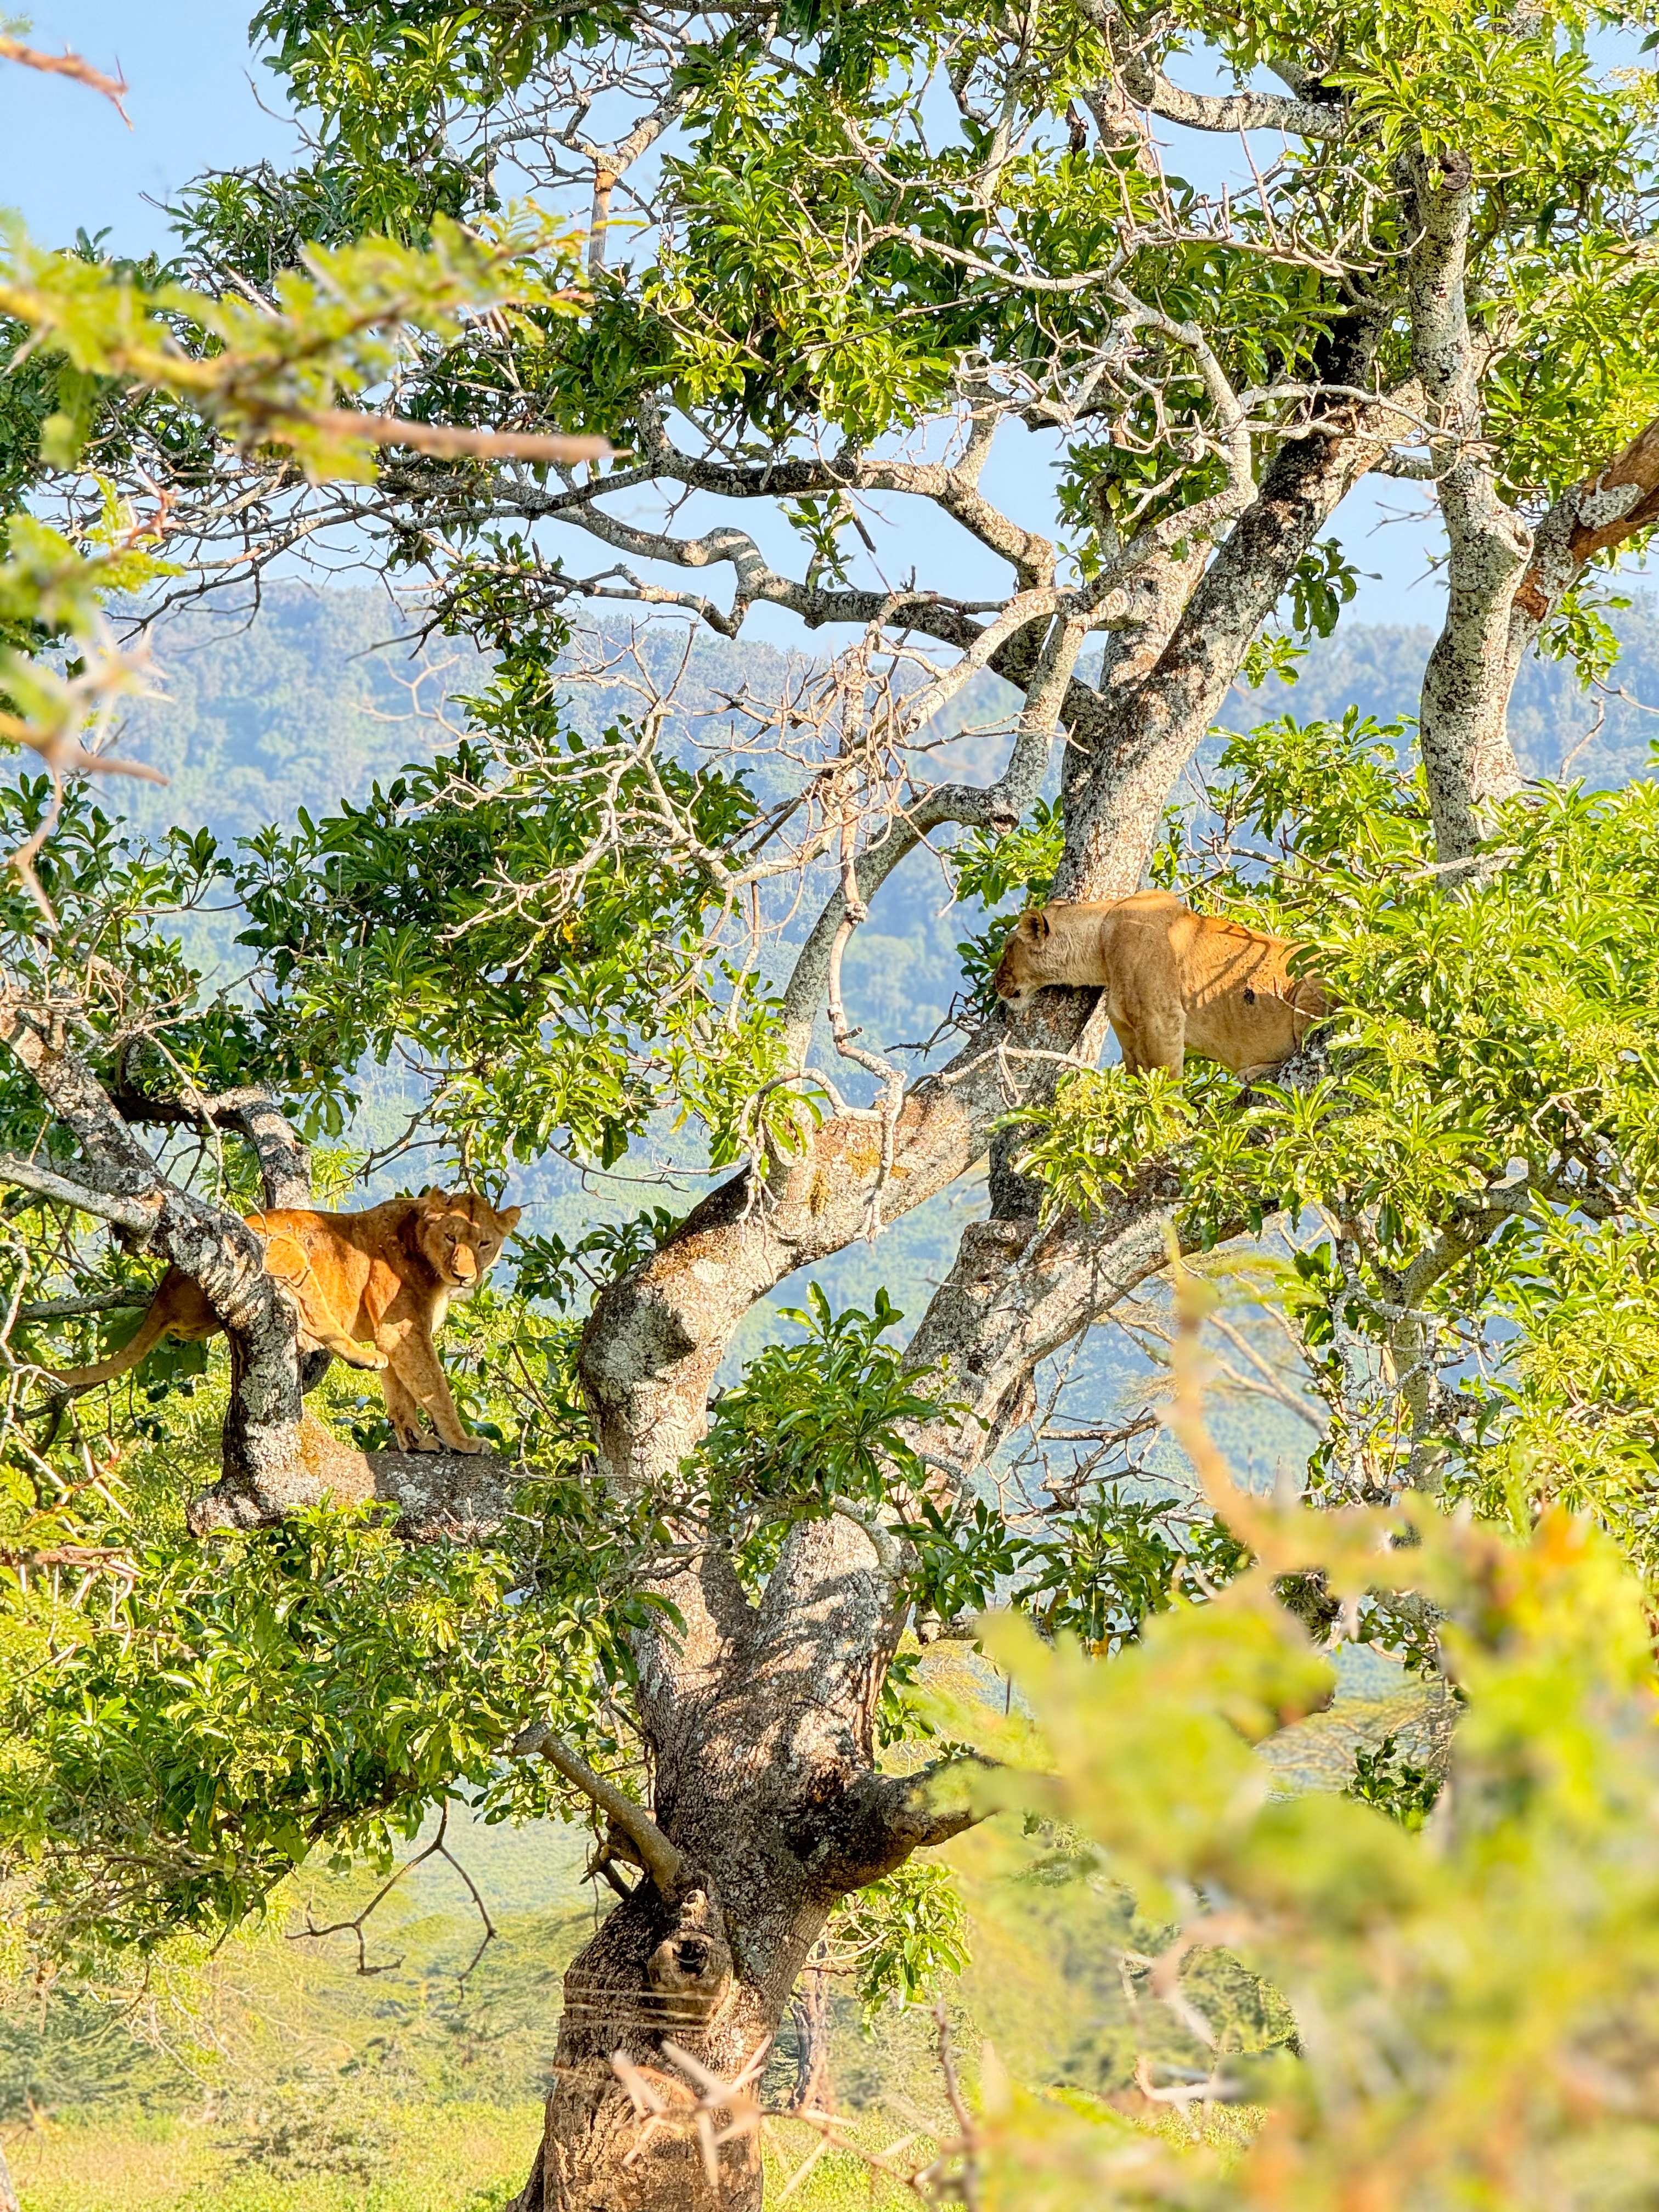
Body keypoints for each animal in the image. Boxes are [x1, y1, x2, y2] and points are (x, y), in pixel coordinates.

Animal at [53, 1194, 520, 1451]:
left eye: (484, 1243)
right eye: (452, 1238)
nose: (464, 1275)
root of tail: (166, 1289)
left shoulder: (395, 1336)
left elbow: (401, 1394)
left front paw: (416, 1441)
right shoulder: (401, 1331)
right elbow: (433, 1388)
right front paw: (462, 1442)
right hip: (291, 1250)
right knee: (314, 1320)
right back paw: (358, 1357)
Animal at [995, 889, 1336, 1079]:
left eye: (1007, 949)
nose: (995, 983)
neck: (1100, 945)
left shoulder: (1160, 1019)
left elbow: (1166, 1081)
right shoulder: (1126, 1030)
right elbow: (1137, 1077)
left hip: (1314, 982)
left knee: (1306, 1050)